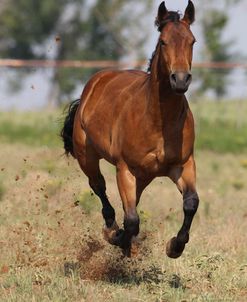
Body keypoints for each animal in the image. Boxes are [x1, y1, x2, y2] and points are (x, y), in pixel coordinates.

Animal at [61, 0, 199, 260]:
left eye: (192, 41)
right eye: (163, 41)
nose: (180, 79)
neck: (158, 121)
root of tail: (95, 82)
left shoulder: (183, 164)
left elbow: (191, 203)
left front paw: (174, 247)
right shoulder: (125, 168)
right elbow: (132, 219)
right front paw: (117, 238)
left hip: (144, 176)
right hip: (87, 157)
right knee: (99, 187)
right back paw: (112, 230)